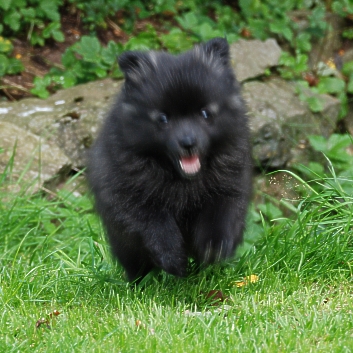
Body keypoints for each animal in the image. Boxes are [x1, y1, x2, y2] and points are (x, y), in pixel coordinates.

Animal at [88, 38, 253, 280]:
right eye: (163, 118)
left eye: (205, 113)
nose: (188, 142)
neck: (183, 180)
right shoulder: (128, 197)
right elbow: (155, 225)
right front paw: (171, 257)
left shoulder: (229, 188)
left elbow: (220, 218)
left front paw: (214, 247)